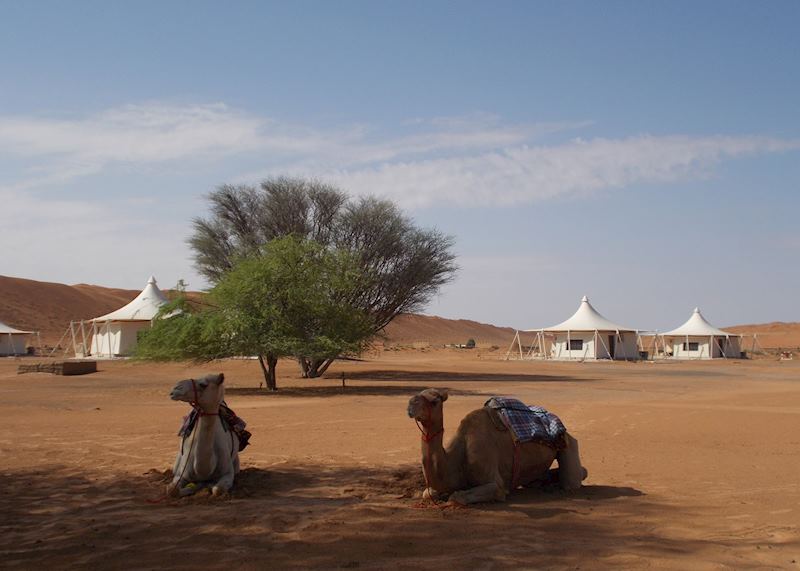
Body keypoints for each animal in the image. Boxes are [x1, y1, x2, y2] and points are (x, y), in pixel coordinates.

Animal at [406, 388, 588, 504]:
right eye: (418, 394)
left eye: (435, 401)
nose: (410, 404)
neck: (456, 460)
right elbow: (427, 493)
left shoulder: (494, 482)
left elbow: (457, 497)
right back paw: (542, 483)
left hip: (568, 443)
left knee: (574, 479)